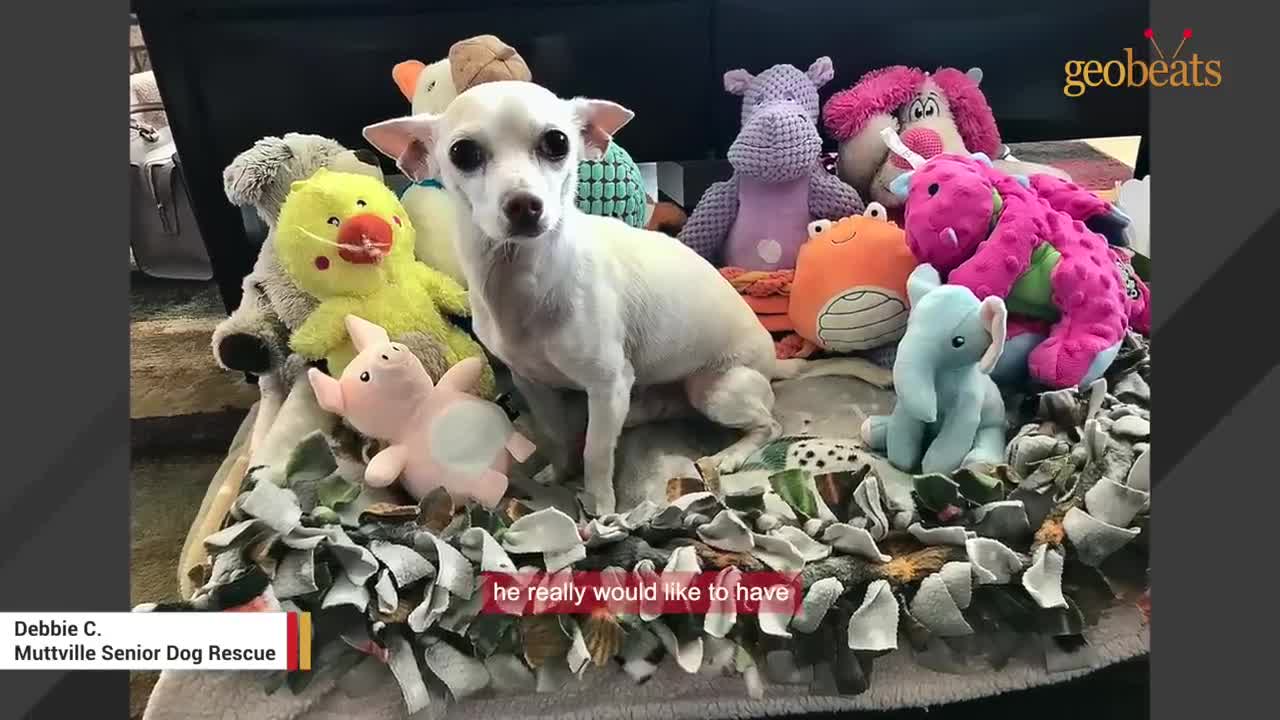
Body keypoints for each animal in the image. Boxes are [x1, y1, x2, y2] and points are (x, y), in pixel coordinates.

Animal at [363, 81, 890, 512]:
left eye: (557, 143)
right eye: (463, 153)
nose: (524, 205)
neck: (522, 279)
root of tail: (773, 360)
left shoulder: (607, 385)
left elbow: (597, 451)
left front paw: (600, 507)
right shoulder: (534, 384)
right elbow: (556, 435)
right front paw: (560, 471)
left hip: (715, 388)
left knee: (770, 425)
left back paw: (731, 456)